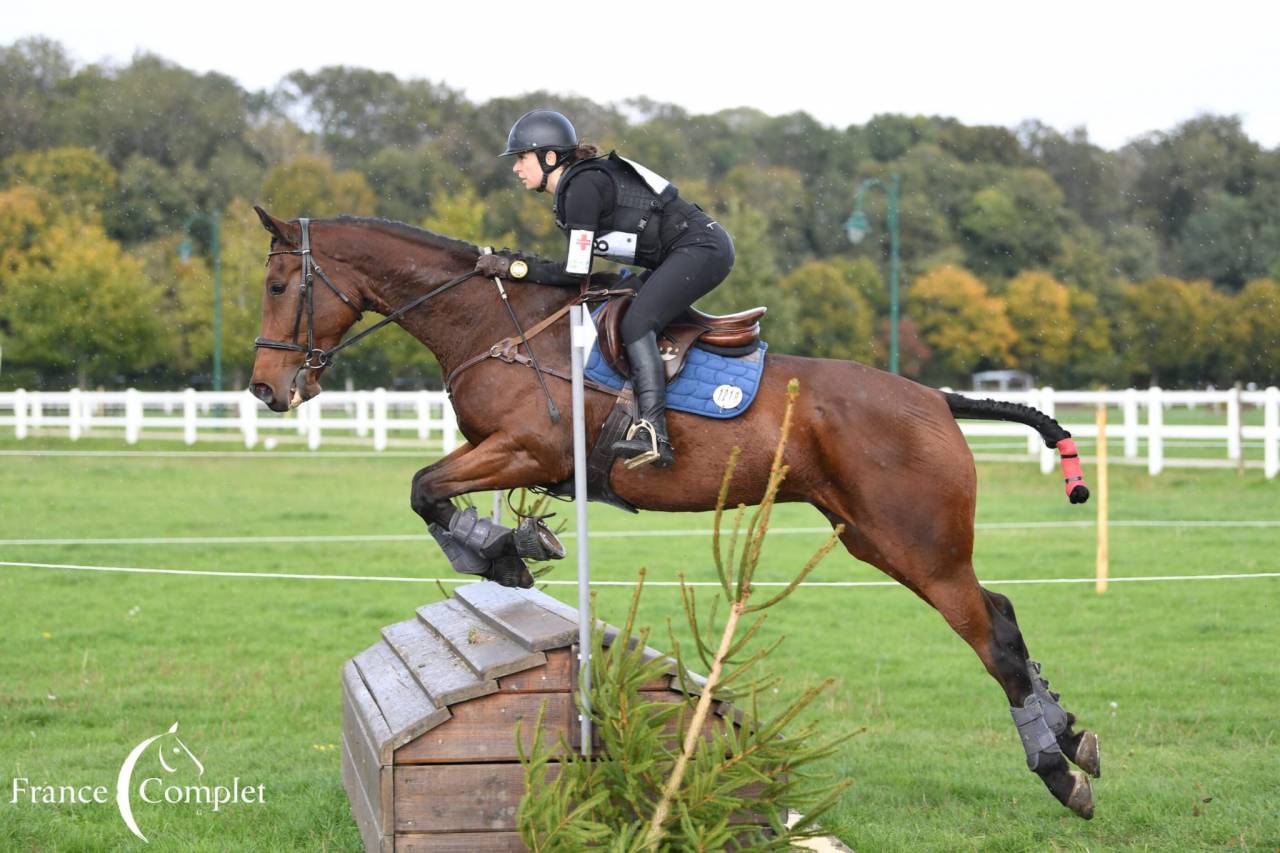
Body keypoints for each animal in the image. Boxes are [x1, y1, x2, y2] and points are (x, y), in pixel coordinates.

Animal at [246, 207, 1100, 819]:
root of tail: (935, 397)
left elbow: (425, 486)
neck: (491, 323)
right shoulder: (509, 452)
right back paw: (1068, 733)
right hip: (878, 539)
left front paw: (500, 546)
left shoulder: (527, 447)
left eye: (282, 286)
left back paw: (1058, 769)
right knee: (1002, 611)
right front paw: (506, 543)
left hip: (916, 543)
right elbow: (431, 490)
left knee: (991, 636)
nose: (264, 388)